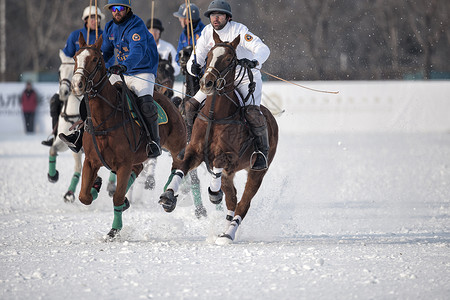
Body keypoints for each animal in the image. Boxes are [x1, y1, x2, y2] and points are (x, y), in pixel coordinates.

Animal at [71, 32, 186, 239]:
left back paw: (168, 197)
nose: (77, 84)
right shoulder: (91, 161)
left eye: (95, 59)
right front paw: (95, 186)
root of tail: (170, 99)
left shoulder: (124, 163)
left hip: (176, 144)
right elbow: (84, 196)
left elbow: (116, 197)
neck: (105, 119)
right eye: (76, 57)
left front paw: (114, 230)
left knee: (178, 165)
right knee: (139, 168)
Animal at [158, 31, 278, 245]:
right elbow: (181, 169)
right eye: (208, 56)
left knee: (243, 203)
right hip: (230, 175)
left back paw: (228, 234)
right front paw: (168, 197)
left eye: (230, 59)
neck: (216, 114)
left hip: (257, 171)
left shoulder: (229, 156)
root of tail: (270, 117)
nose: (207, 83)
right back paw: (225, 229)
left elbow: (217, 166)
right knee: (233, 200)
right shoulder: (194, 151)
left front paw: (214, 194)